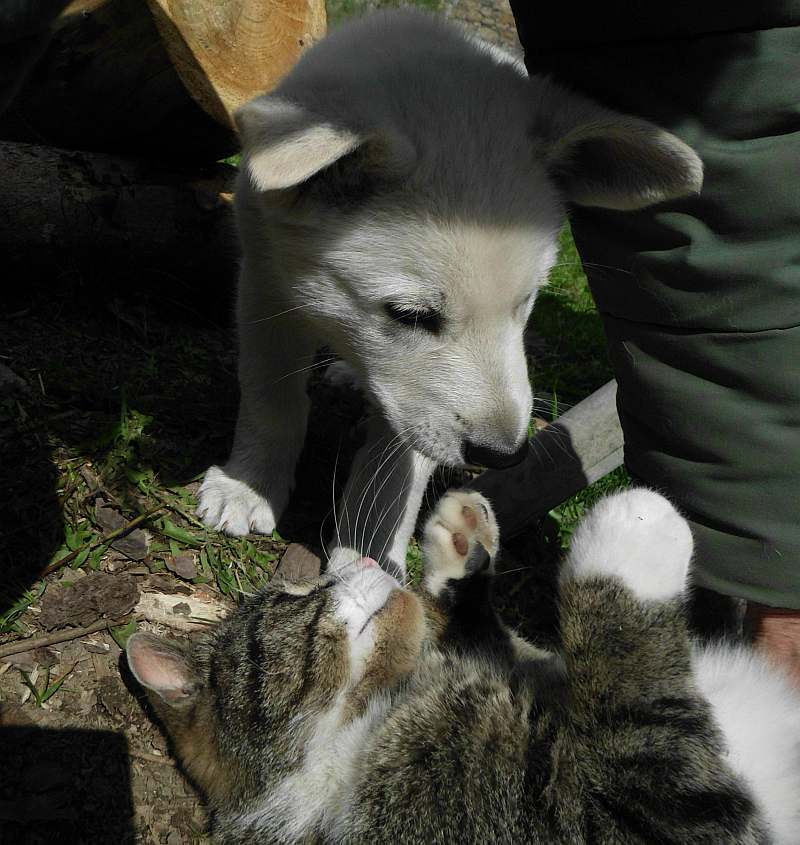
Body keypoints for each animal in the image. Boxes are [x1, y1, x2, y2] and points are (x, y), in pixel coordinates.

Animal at [126, 488, 800, 844]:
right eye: (294, 595)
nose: (364, 560)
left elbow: (499, 640)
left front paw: (459, 556)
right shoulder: (645, 821)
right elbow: (634, 698)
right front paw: (637, 528)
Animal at [197, 9, 704, 572]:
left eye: (525, 304)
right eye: (410, 314)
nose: (504, 456)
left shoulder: (418, 404)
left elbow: (396, 464)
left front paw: (371, 552)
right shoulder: (264, 279)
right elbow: (271, 393)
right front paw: (249, 487)